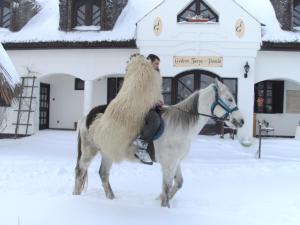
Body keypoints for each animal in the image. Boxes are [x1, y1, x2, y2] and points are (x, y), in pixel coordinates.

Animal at [72, 79, 244, 207]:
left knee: (103, 174)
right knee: (80, 171)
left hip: (108, 152)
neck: (180, 126)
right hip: (89, 150)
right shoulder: (169, 162)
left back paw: (111, 198)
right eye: (229, 98)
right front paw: (164, 207)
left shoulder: (176, 161)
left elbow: (178, 183)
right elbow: (167, 186)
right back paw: (75, 197)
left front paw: (159, 199)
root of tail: (89, 115)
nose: (241, 121)